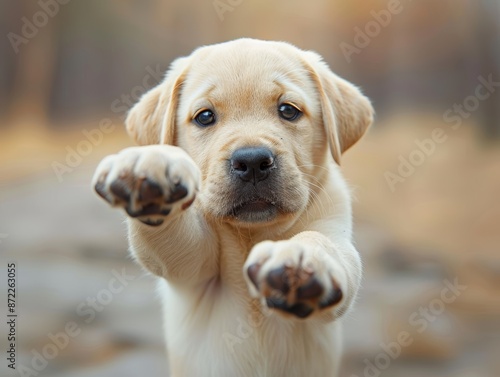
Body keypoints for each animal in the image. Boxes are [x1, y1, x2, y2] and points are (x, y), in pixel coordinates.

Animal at [92, 38, 374, 376]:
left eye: (288, 110)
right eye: (204, 116)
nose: (252, 162)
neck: (251, 234)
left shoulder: (334, 229)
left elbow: (323, 243)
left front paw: (300, 258)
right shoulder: (191, 264)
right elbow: (173, 240)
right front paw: (151, 161)